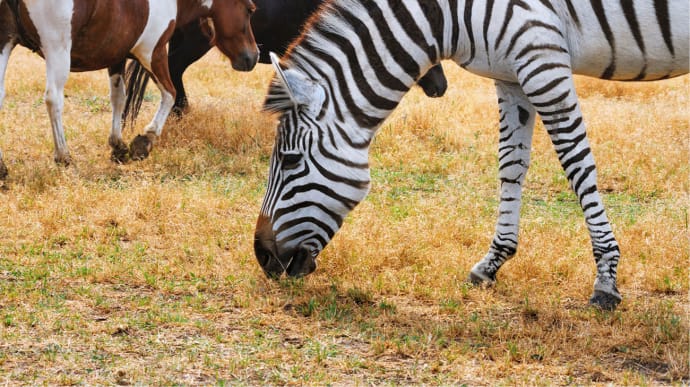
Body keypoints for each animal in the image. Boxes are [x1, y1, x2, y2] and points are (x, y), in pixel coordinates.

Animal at [0, 0, 256, 177]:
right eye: (250, 9)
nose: (253, 56)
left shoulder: (117, 56)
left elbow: (118, 98)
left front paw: (118, 145)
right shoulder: (153, 53)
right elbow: (170, 94)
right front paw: (145, 141)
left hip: (6, 42)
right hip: (57, 48)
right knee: (54, 99)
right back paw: (64, 156)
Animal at [254, 0, 688, 310]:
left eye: (290, 161)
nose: (262, 257)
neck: (446, 13)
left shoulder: (541, 56)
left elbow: (577, 165)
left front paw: (606, 277)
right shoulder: (512, 73)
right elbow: (511, 163)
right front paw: (493, 262)